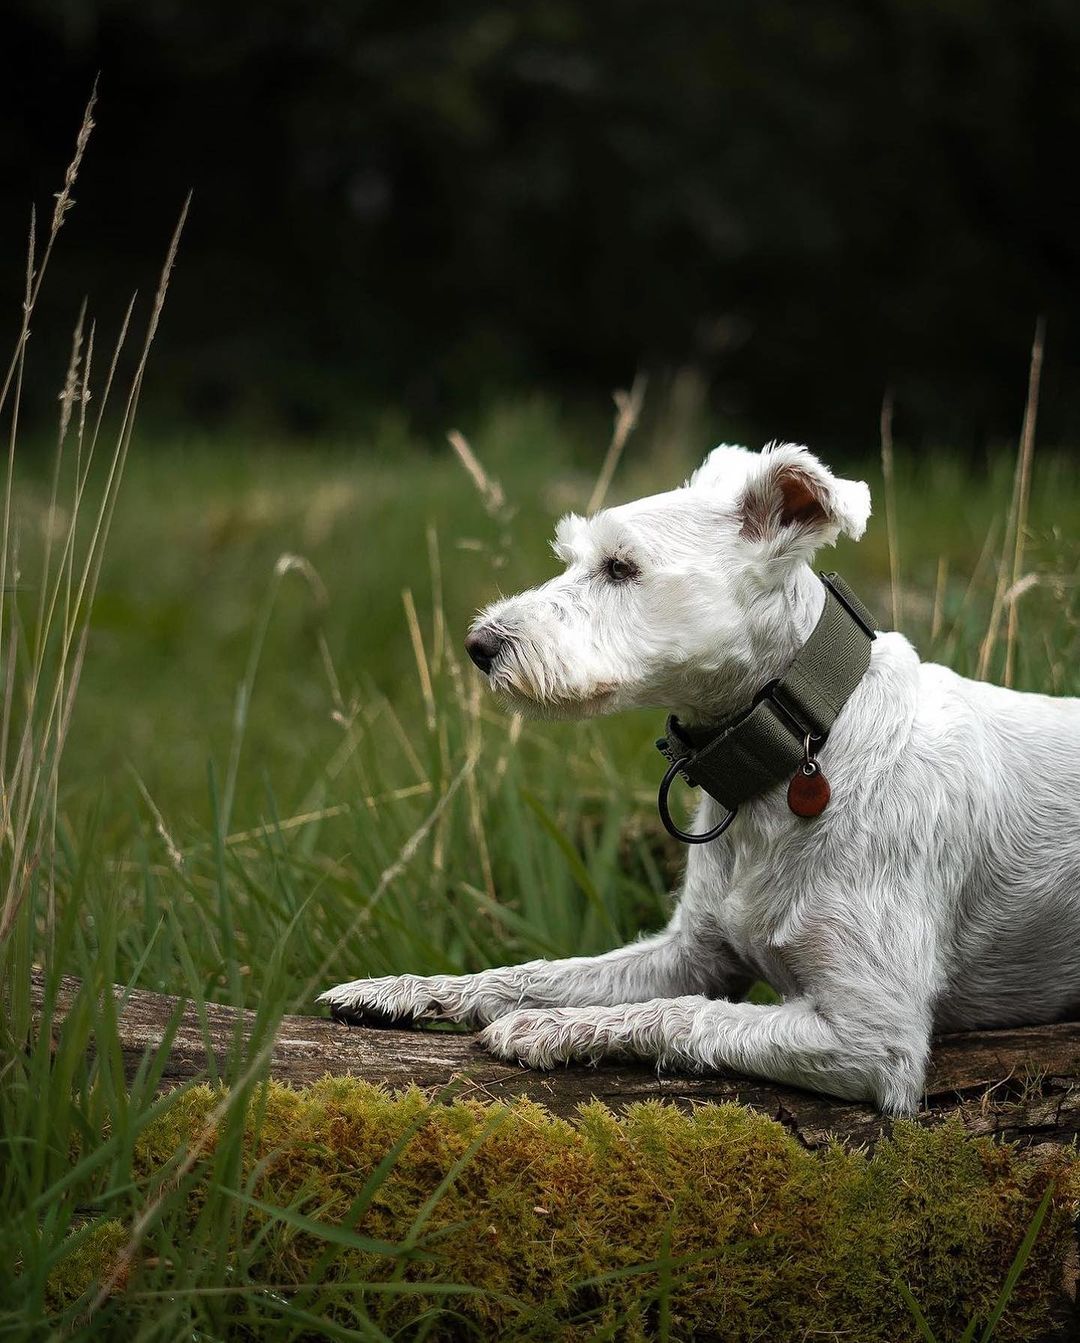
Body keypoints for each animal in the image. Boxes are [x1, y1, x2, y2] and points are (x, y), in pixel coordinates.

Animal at [318, 440, 1080, 1112]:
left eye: (621, 567)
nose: (480, 644)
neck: (799, 750)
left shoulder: (872, 1038)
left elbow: (683, 1014)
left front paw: (551, 1027)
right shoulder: (688, 953)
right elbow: (538, 973)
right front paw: (404, 991)